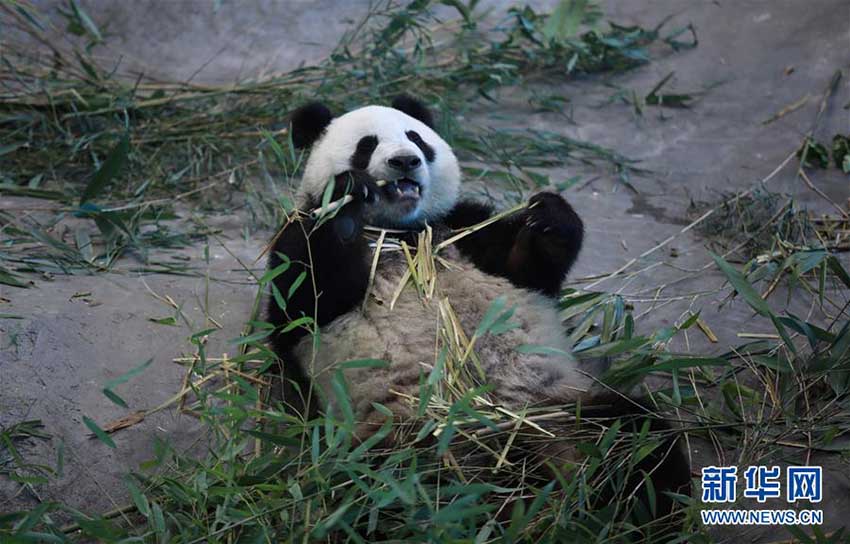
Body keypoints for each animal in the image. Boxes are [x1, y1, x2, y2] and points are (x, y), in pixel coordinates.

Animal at [264, 96, 688, 528]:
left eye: (416, 138)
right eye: (366, 146)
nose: (405, 161)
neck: (400, 231)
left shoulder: (464, 227)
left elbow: (528, 268)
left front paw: (548, 215)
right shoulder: (296, 245)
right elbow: (303, 298)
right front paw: (347, 200)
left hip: (560, 410)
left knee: (638, 442)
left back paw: (636, 515)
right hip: (392, 441)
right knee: (377, 495)